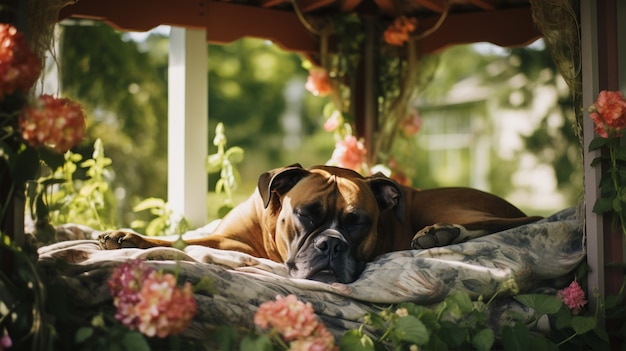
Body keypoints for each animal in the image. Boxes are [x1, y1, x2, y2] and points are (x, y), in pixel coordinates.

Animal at [100, 164, 540, 284]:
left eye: (358, 222)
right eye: (307, 214)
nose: (331, 244)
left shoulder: (233, 246)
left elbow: (186, 241)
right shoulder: (227, 237)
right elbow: (183, 236)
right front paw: (125, 236)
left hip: (446, 205)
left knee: (520, 221)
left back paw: (439, 234)